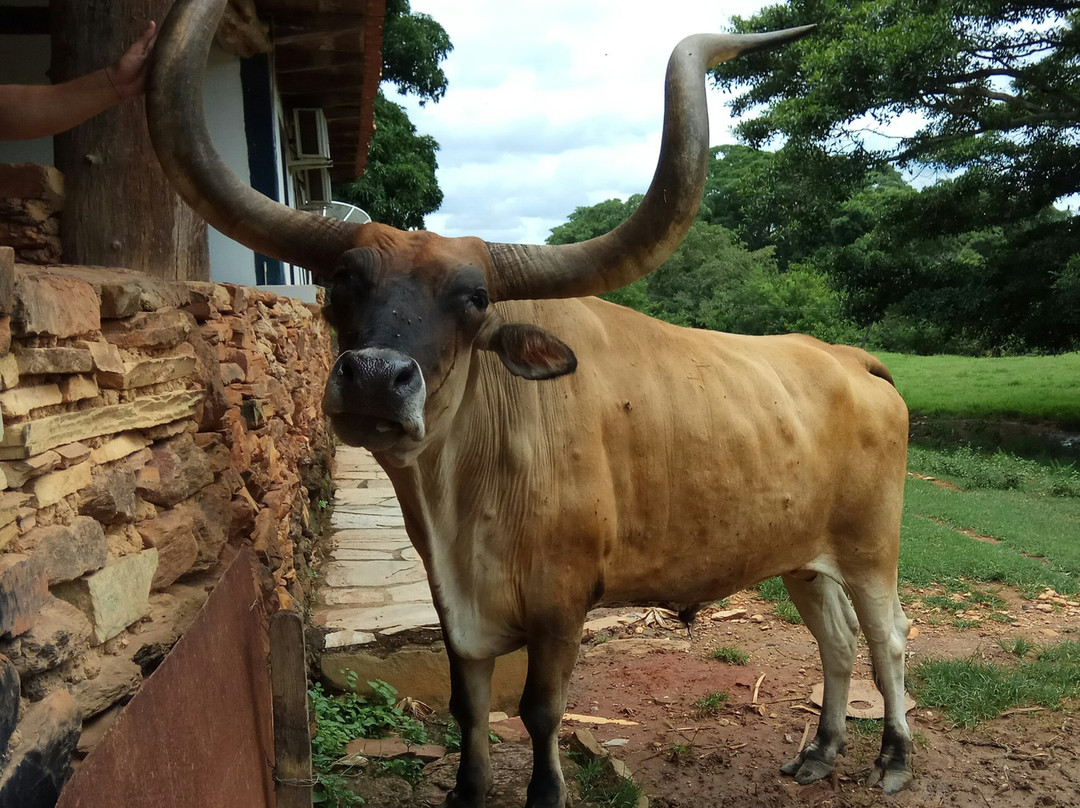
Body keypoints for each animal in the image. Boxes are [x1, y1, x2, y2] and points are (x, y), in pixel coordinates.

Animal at [147, 3, 915, 803]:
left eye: (475, 299)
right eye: (341, 282)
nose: (375, 378)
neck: (465, 492)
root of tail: (846, 358)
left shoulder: (560, 607)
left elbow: (540, 711)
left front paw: (546, 789)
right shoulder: (456, 608)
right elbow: (470, 704)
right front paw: (467, 787)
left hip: (871, 548)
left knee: (887, 636)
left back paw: (893, 756)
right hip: (803, 558)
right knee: (835, 641)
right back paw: (820, 752)